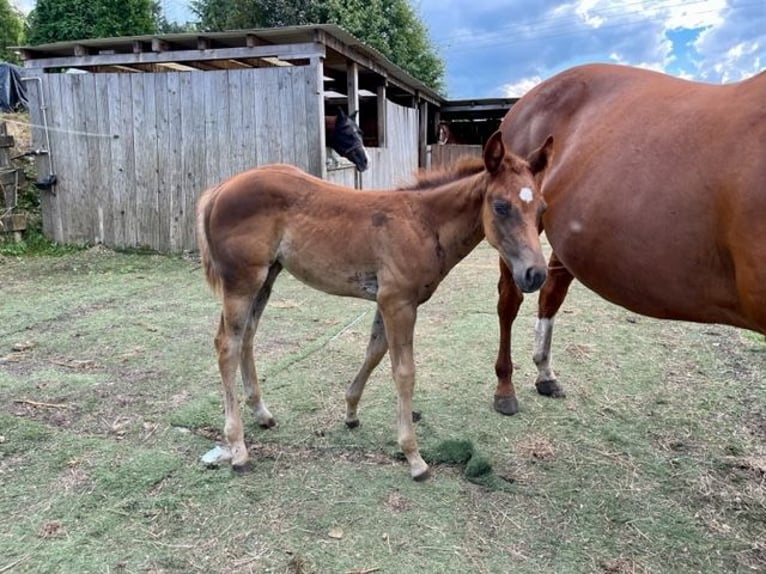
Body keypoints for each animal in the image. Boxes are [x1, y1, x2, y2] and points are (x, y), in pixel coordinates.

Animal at [196, 130, 551, 480]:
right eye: (501, 206)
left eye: (542, 208)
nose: (535, 274)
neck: (423, 223)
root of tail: (220, 189)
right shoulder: (399, 303)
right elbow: (404, 371)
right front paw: (413, 456)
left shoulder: (386, 301)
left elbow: (374, 352)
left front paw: (351, 412)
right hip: (242, 282)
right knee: (227, 345)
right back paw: (238, 448)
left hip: (267, 276)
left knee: (247, 337)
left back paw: (261, 413)